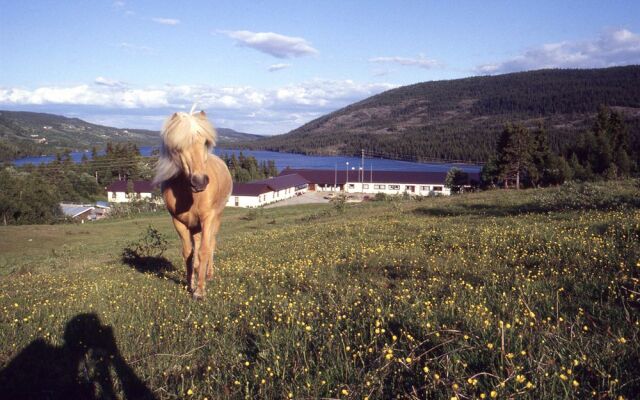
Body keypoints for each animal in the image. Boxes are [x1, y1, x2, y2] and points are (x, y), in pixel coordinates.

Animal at [154, 111, 234, 298]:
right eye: (178, 146)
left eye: (205, 142)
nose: (199, 181)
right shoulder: (179, 222)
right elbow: (188, 253)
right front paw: (190, 284)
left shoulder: (208, 218)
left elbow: (205, 249)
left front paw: (199, 291)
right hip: (194, 225)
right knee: (196, 244)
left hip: (216, 218)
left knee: (211, 243)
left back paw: (209, 274)